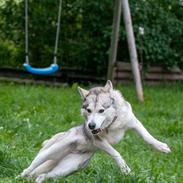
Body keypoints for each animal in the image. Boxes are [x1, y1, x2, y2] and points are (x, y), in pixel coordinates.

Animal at [19, 81, 171, 183]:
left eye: (101, 110)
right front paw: (125, 169)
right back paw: (19, 176)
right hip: (49, 153)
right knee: (29, 169)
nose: (91, 126)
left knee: (42, 176)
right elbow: (116, 153)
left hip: (66, 169)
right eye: (88, 110)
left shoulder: (134, 123)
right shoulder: (99, 142)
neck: (112, 124)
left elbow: (147, 137)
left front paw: (161, 147)